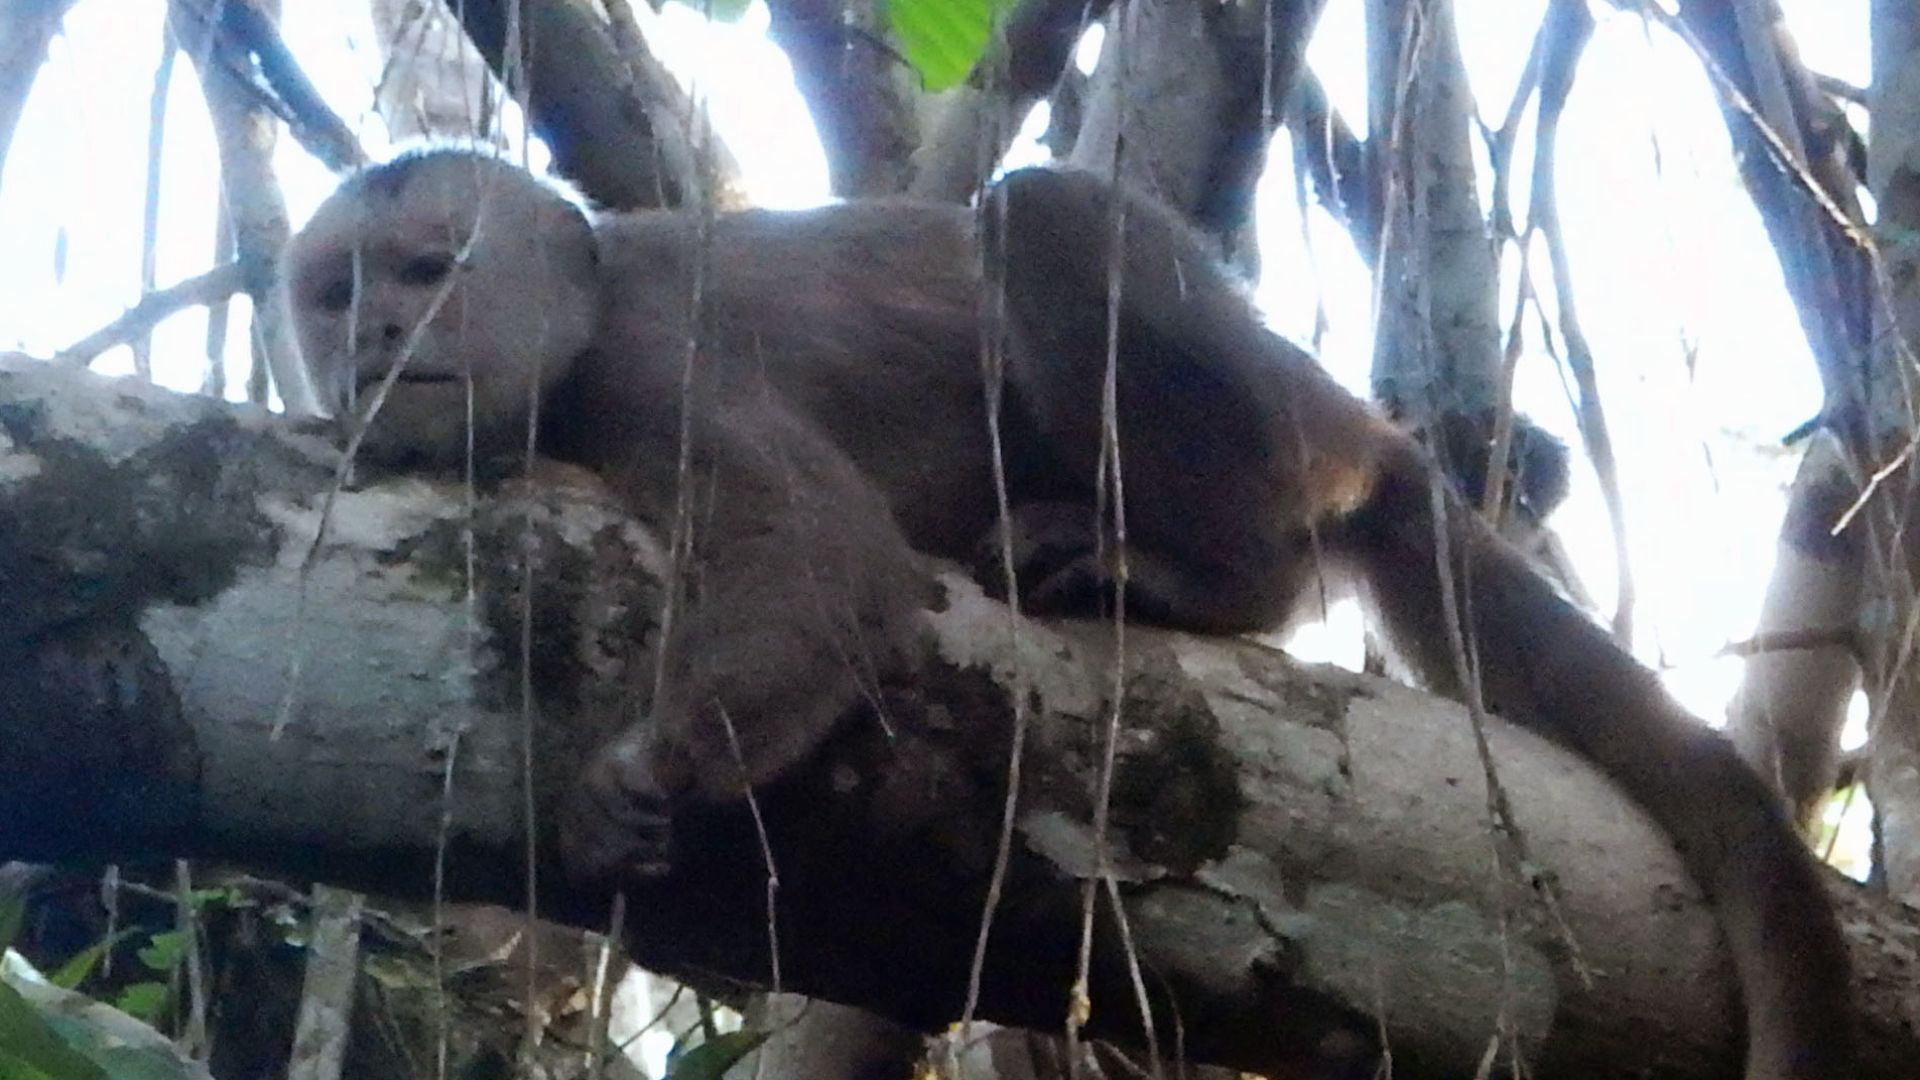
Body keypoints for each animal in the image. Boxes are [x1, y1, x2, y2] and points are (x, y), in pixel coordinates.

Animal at [282, 148, 1854, 1079]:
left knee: (1041, 211)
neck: (580, 323)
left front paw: (641, 775)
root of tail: (1355, 420)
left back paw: (1209, 576)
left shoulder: (650, 359)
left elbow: (830, 560)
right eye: (332, 293)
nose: (378, 334)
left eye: (427, 270)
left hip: (1276, 434)